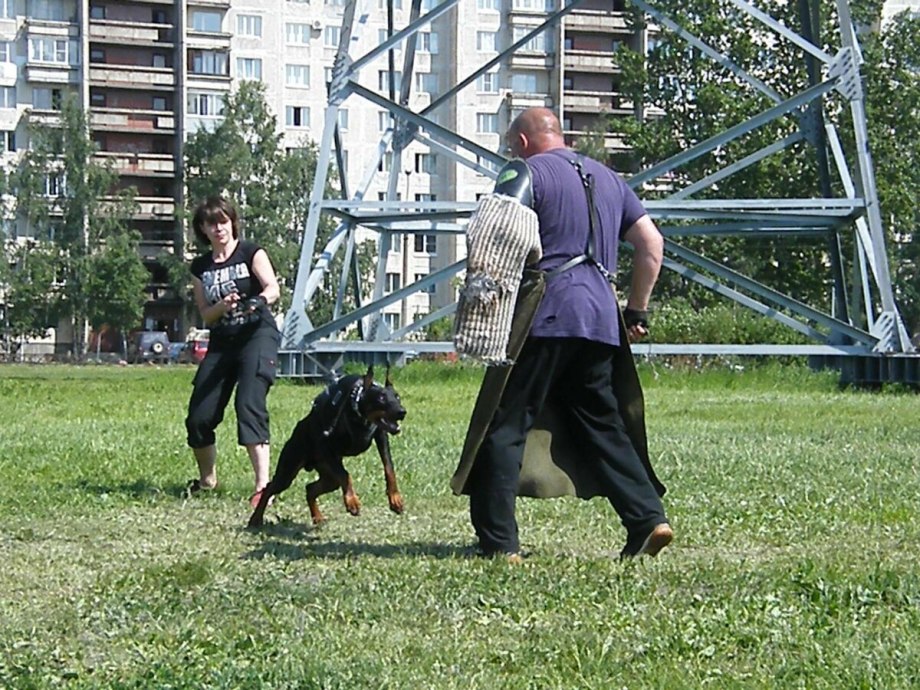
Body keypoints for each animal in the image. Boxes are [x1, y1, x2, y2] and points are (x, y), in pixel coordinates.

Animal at [252, 366, 410, 528]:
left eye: (397, 397)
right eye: (381, 398)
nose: (402, 412)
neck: (358, 411)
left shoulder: (381, 435)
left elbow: (389, 467)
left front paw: (395, 499)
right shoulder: (326, 446)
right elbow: (346, 475)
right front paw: (352, 502)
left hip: (328, 475)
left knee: (310, 488)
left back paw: (317, 517)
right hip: (290, 468)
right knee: (270, 487)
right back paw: (255, 519)